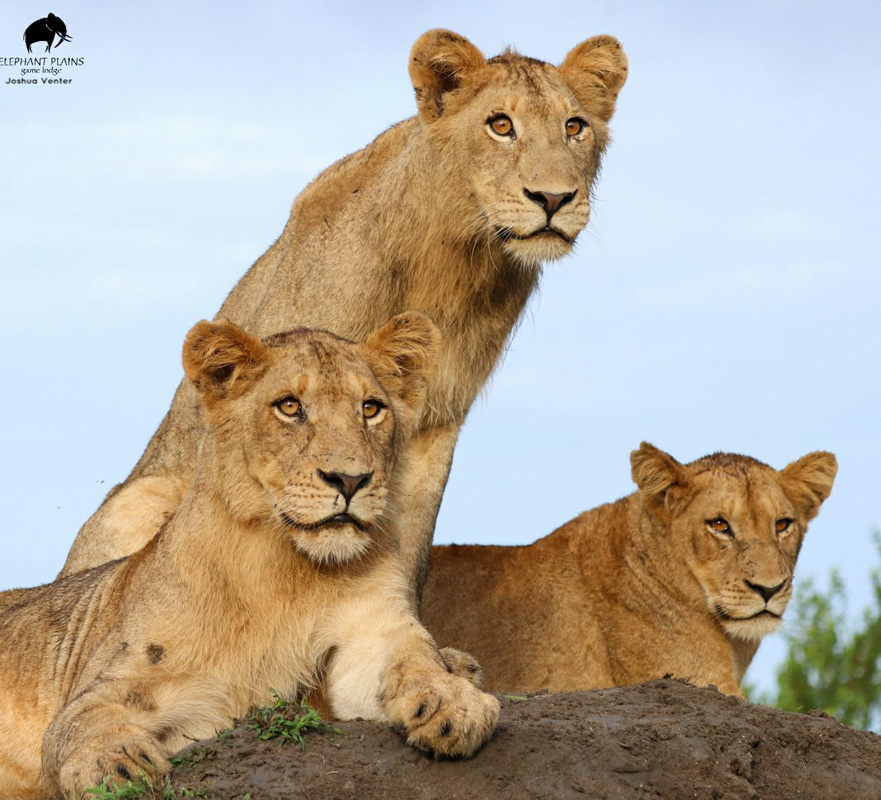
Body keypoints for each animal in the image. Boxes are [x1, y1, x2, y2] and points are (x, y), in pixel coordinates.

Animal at [0, 314, 500, 800]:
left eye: (370, 408)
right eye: (290, 406)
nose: (350, 480)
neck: (285, 570)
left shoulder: (371, 633)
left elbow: (414, 655)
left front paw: (455, 701)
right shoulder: (120, 680)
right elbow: (85, 718)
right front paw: (115, 765)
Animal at [59, 29, 629, 605]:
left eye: (574, 126)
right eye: (501, 124)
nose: (554, 198)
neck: (456, 258)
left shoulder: (436, 418)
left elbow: (410, 541)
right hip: (137, 499)